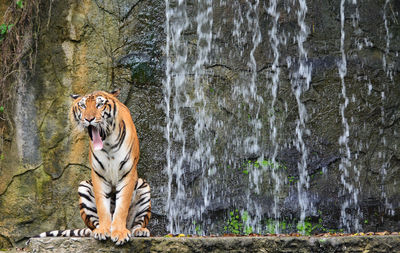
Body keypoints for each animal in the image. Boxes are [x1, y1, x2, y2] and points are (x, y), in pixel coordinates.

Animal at [28, 89, 150, 245]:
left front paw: (120, 233)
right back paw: (98, 231)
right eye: (83, 106)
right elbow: (102, 207)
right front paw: (103, 230)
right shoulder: (98, 175)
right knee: (93, 225)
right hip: (83, 187)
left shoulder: (128, 173)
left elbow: (121, 206)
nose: (89, 119)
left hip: (144, 186)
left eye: (99, 105)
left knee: (138, 222)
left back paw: (140, 231)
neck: (108, 143)